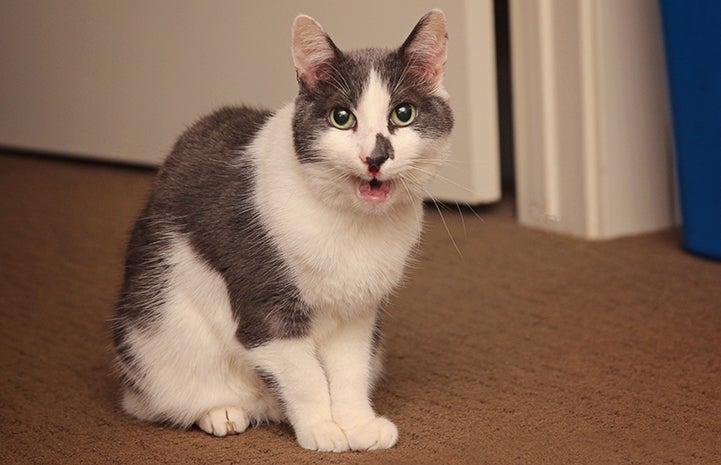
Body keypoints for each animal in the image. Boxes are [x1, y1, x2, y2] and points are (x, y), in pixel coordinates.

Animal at [110, 9, 452, 452]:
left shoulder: (358, 313)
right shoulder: (266, 303)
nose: (375, 157)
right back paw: (221, 411)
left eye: (403, 113)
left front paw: (356, 423)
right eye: (342, 117)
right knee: (151, 398)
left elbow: (350, 370)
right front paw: (322, 428)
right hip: (159, 330)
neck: (350, 222)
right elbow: (304, 374)